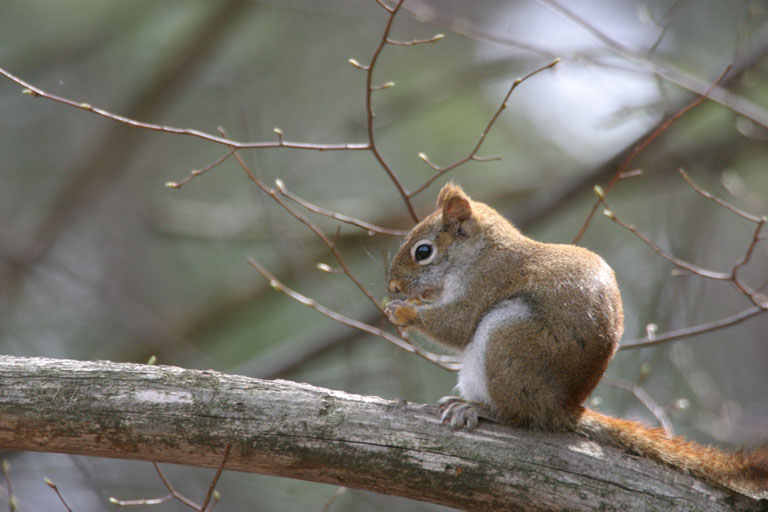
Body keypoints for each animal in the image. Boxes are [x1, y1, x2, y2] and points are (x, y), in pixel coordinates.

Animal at [385, 182, 768, 500]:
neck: (480, 252)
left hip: (508, 340)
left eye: (423, 251)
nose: (393, 287)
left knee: (517, 415)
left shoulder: (487, 282)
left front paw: (402, 312)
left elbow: (458, 326)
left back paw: (479, 408)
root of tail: (561, 408)